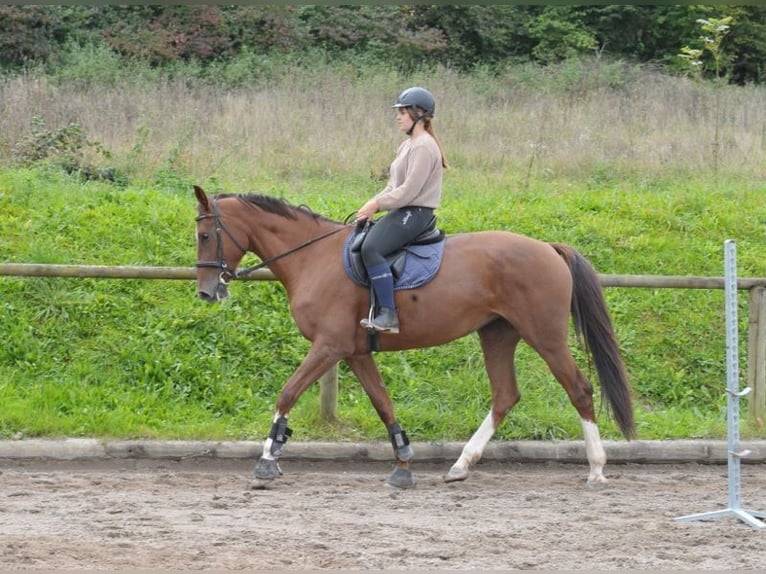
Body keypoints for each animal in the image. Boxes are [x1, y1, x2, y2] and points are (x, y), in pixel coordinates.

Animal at [194, 184, 636, 490]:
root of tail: (547, 247)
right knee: (505, 395)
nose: (206, 292)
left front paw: (268, 460)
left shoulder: (329, 346)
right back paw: (461, 465)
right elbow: (383, 404)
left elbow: (287, 393)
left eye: (204, 236)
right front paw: (403, 464)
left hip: (544, 336)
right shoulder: (354, 353)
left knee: (578, 389)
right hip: (497, 334)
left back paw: (596, 469)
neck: (312, 258)